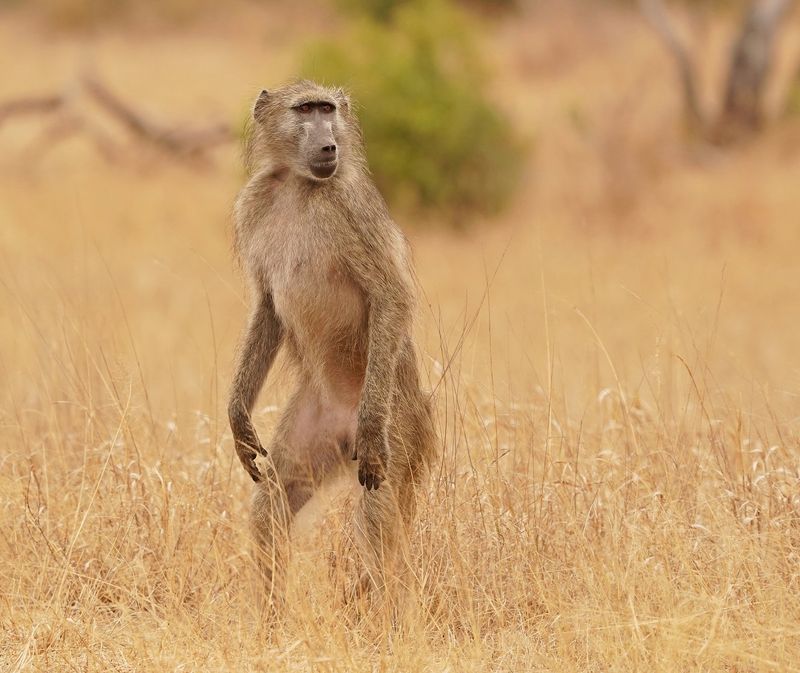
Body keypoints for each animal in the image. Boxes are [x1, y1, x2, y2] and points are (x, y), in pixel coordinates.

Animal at [228, 80, 436, 606]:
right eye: (305, 110)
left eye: (328, 110)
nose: (328, 147)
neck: (298, 186)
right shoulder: (253, 204)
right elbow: (267, 308)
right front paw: (237, 418)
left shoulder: (349, 203)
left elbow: (391, 295)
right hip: (314, 429)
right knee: (272, 507)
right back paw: (272, 619)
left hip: (400, 428)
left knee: (380, 524)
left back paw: (391, 619)